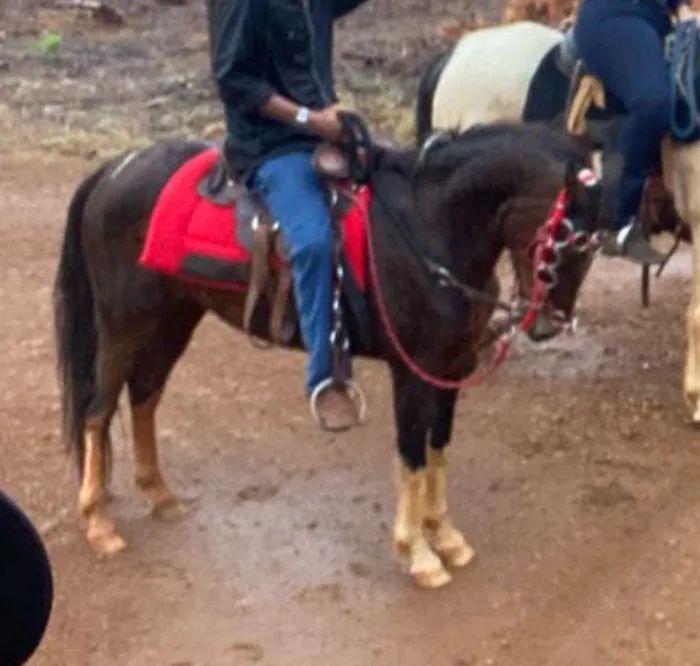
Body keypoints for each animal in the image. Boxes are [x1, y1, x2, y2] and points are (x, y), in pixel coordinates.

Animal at [54, 123, 600, 587]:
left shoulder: (453, 366)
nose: (550, 323)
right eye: (566, 236)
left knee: (145, 395)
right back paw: (99, 523)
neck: (428, 226)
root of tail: (115, 168)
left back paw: (160, 495)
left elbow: (439, 449)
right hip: (124, 322)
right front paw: (419, 554)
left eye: (593, 245)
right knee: (99, 409)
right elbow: (412, 455)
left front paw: (446, 536)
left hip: (175, 316)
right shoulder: (412, 371)